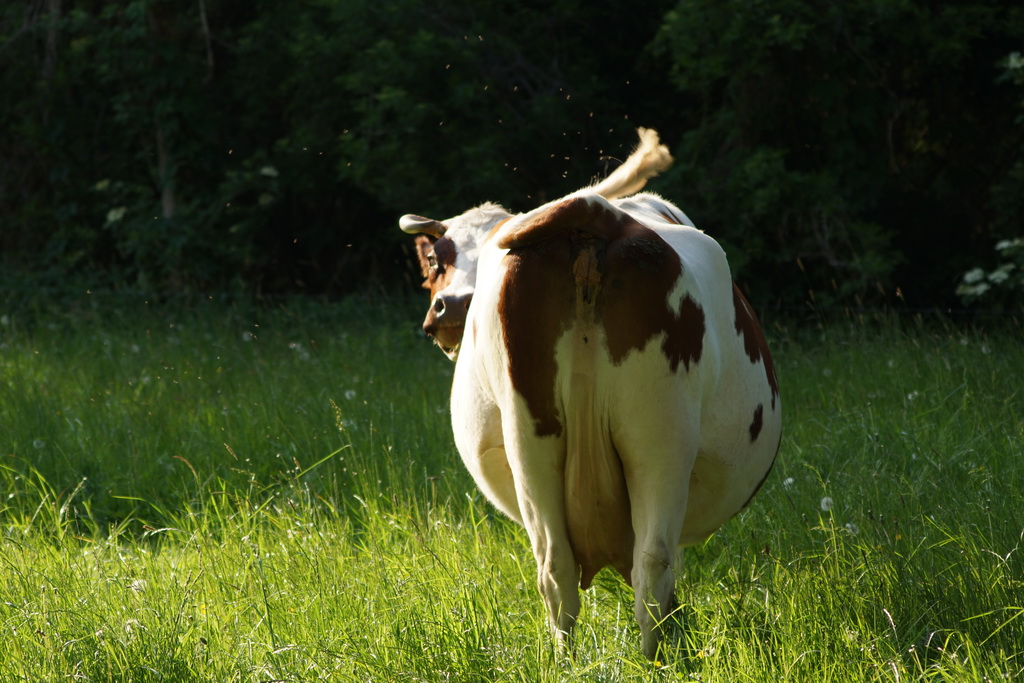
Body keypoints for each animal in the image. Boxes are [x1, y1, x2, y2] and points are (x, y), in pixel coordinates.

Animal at [395, 129, 778, 663]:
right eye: (438, 258)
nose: (450, 306)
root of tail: (598, 213)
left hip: (532, 440)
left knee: (557, 569)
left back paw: (566, 661)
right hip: (661, 442)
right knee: (651, 567)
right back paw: (659, 660)